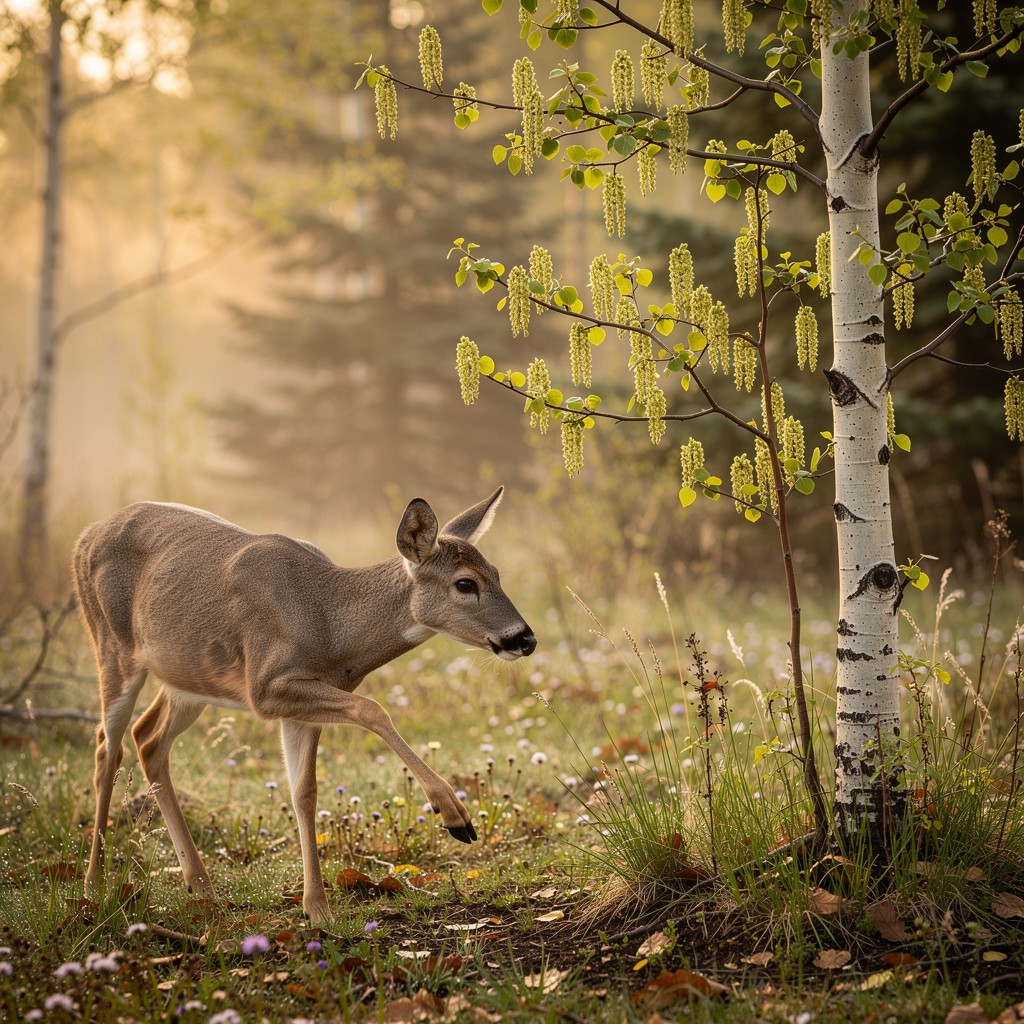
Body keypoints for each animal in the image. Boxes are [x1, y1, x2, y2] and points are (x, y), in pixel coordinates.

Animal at [72, 487, 536, 924]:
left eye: (496, 573)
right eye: (465, 583)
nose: (525, 638)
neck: (329, 623)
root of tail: (85, 536)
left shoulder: (299, 707)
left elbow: (304, 792)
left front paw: (317, 909)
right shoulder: (265, 686)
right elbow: (373, 709)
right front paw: (454, 813)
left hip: (188, 679)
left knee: (148, 738)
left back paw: (199, 883)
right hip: (111, 645)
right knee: (106, 747)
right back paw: (94, 884)